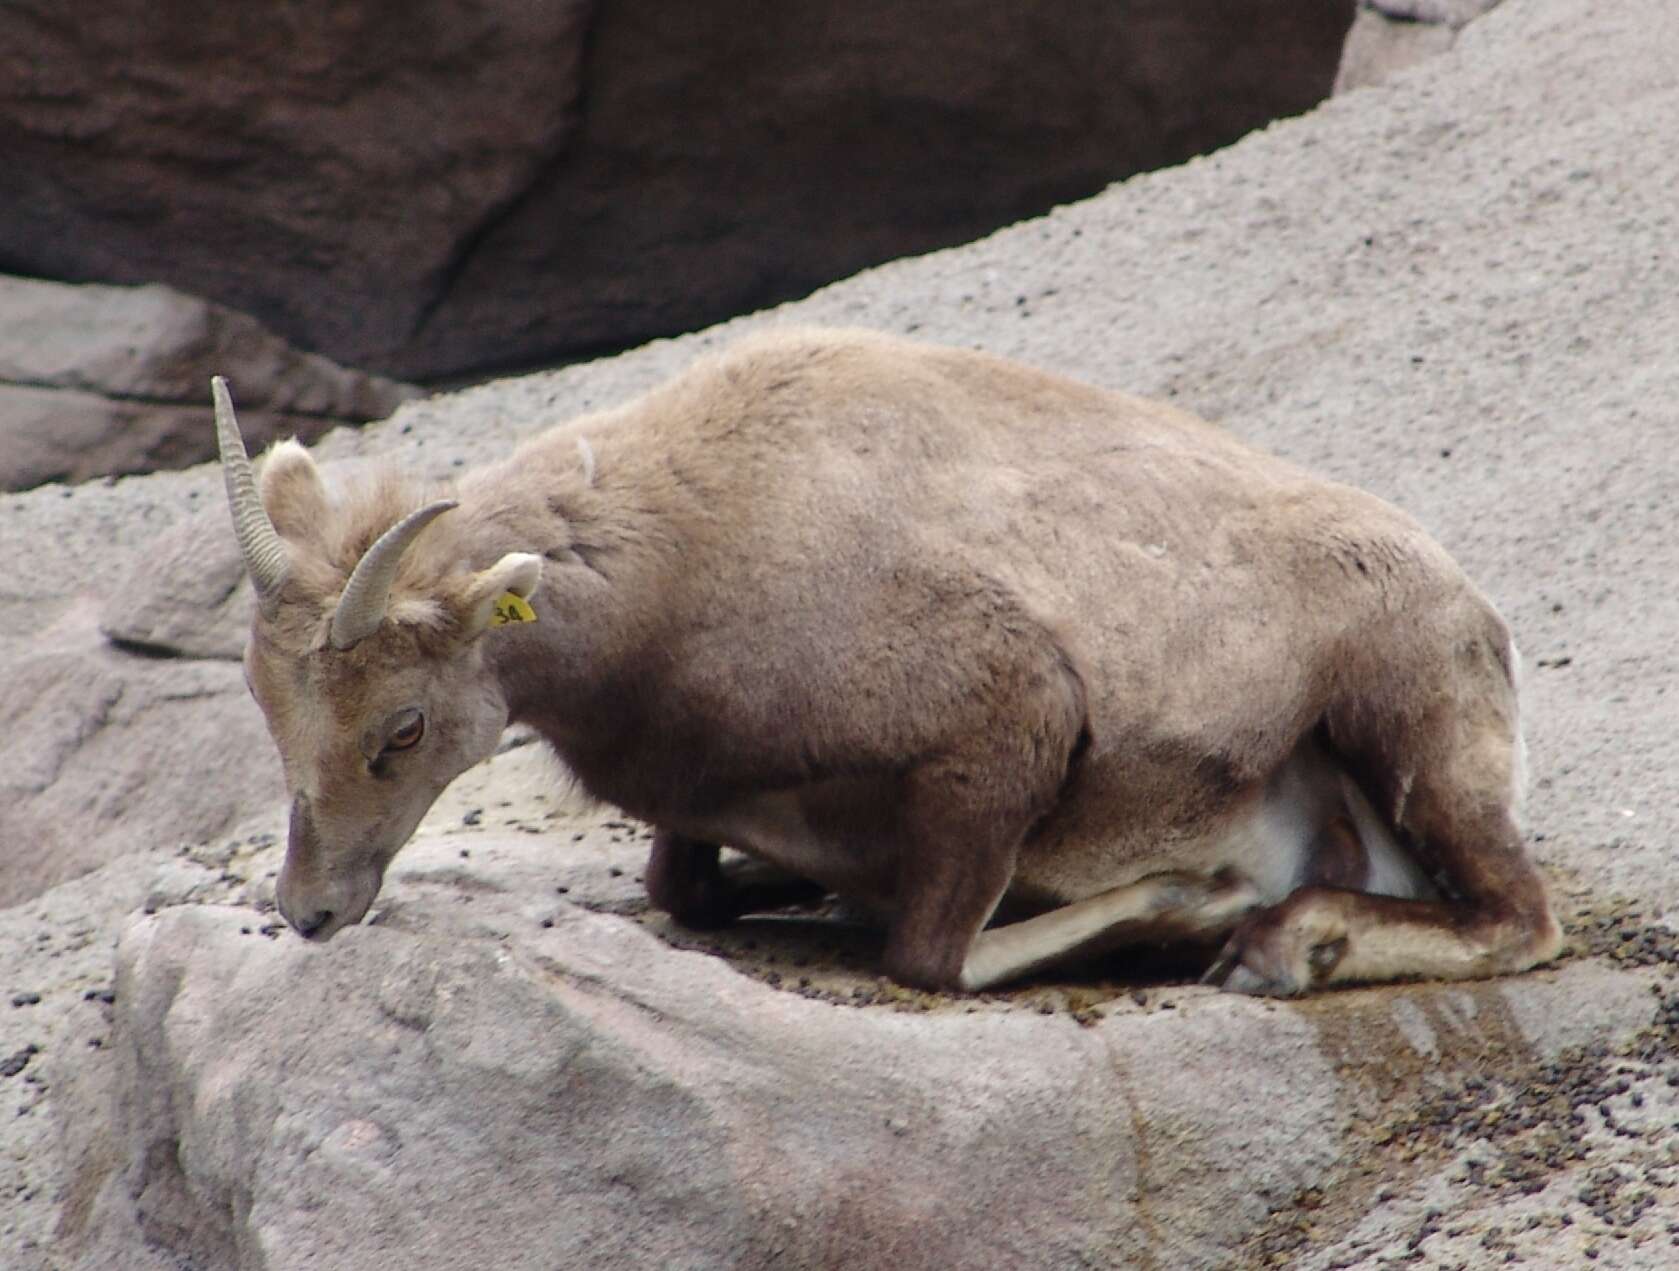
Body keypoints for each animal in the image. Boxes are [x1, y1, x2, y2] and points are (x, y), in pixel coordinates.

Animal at [213, 324, 1558, 993]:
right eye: (266, 704)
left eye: (399, 726)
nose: (311, 908)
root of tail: (1474, 611)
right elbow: (684, 888)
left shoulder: (1007, 725)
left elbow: (930, 958)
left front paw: (1203, 903)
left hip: (1411, 725)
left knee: (1518, 919)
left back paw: (1282, 946)